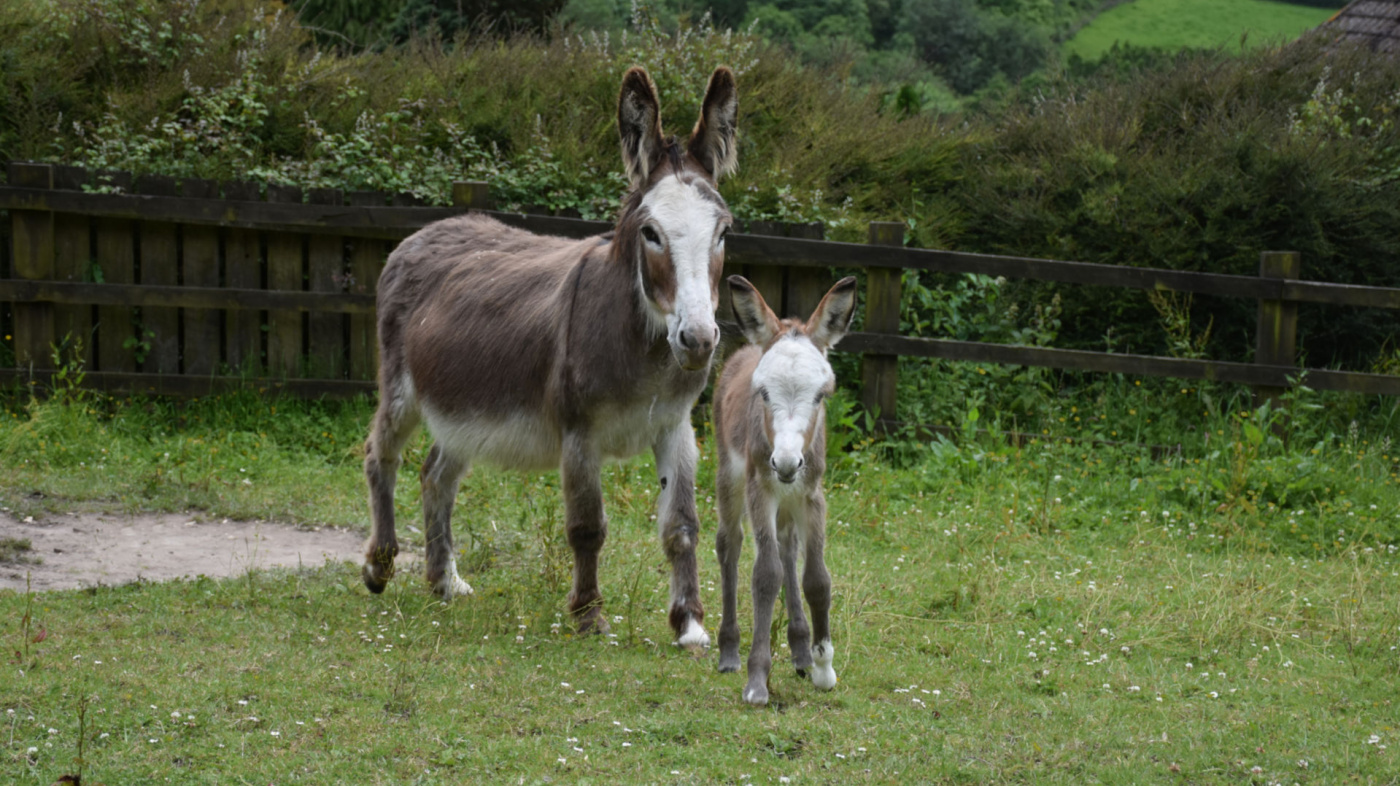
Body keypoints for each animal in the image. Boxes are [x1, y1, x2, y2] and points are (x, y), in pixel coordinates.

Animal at [716, 273, 856, 700]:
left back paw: (800, 651)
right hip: (730, 478)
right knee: (730, 543)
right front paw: (757, 680)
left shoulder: (811, 496)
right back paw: (728, 650)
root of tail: (749, 347)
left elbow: (817, 578)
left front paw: (823, 668)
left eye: (821, 395)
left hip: (790, 501)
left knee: (788, 547)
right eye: (762, 392)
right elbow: (765, 574)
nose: (787, 463)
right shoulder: (760, 489)